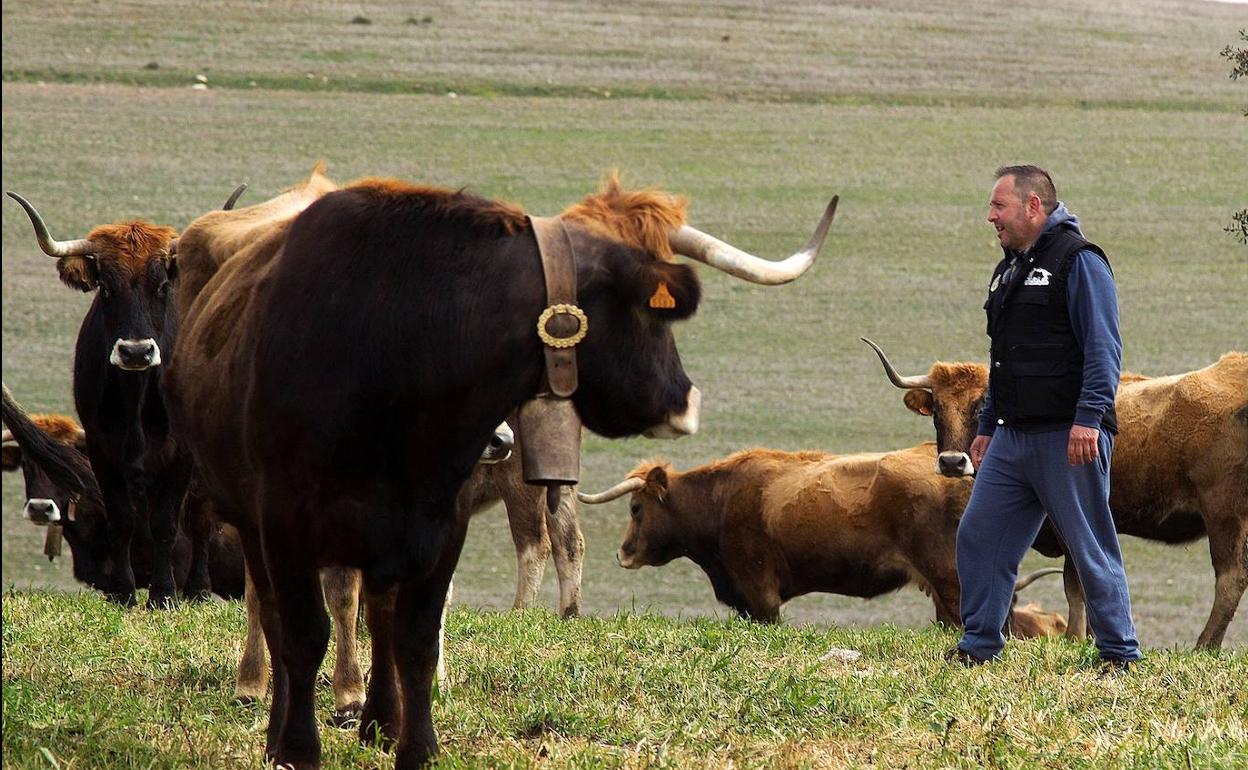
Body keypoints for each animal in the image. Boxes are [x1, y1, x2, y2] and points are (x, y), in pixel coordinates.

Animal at [160, 164, 833, 763]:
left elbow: (415, 622)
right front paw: (306, 731)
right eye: (647, 308)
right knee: (277, 604)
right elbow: (309, 622)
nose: (686, 400)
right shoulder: (287, 520)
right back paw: (263, 687)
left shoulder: (448, 517)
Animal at [863, 339, 1248, 643]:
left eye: (981, 406)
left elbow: (1076, 582)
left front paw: (1074, 637)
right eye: (937, 411)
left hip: (1224, 514)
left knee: (1230, 578)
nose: (953, 462)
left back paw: (1204, 645)